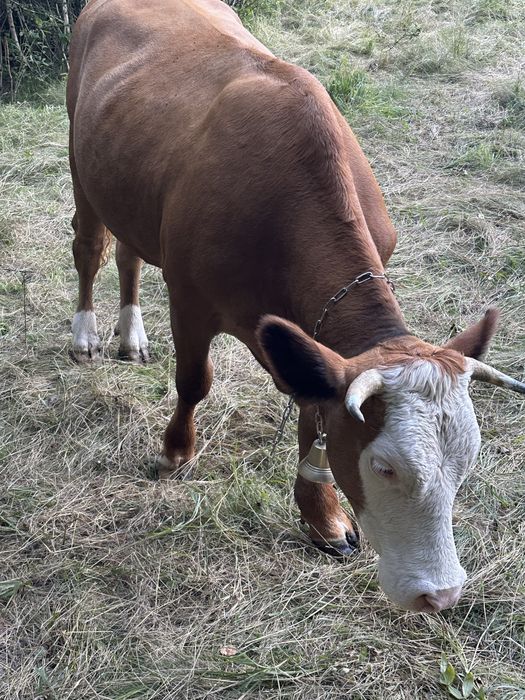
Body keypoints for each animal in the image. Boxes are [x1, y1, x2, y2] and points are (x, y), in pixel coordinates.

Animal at [67, 0, 524, 612]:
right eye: (384, 467)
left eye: (468, 462)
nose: (443, 594)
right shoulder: (190, 297)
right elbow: (193, 382)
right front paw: (175, 453)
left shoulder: (318, 346)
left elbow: (314, 417)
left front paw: (322, 517)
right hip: (81, 162)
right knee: (91, 246)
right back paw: (86, 336)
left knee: (129, 254)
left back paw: (131, 335)